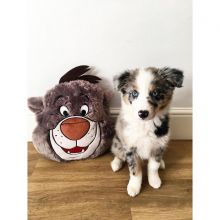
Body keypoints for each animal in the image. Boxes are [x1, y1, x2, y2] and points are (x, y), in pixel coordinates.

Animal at [110, 66, 184, 197]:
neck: (146, 124)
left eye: (155, 93)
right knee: (118, 154)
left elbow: (153, 166)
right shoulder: (130, 147)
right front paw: (134, 187)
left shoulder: (159, 145)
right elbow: (135, 170)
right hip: (117, 142)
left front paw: (154, 181)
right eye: (134, 93)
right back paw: (116, 164)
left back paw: (162, 163)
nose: (143, 113)